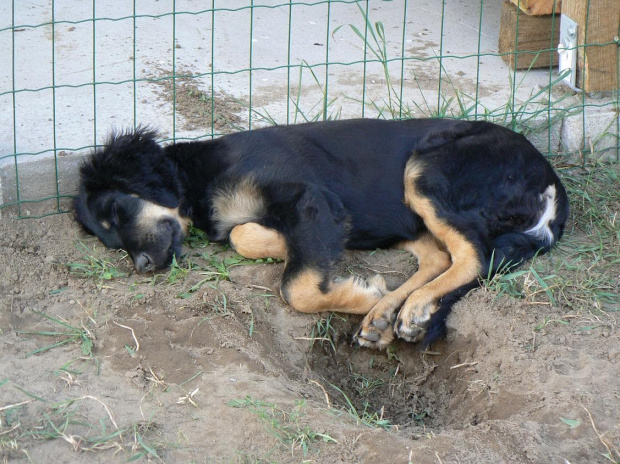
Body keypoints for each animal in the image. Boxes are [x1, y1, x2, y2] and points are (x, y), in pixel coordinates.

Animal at [72, 119, 568, 348]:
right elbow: (243, 235)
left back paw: (409, 308)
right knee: (439, 257)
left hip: (428, 169)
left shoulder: (309, 198)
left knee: (473, 256)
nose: (143, 266)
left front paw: (353, 291)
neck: (199, 178)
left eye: (118, 210)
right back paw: (386, 311)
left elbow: (297, 286)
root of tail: (551, 181)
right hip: (410, 216)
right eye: (110, 241)